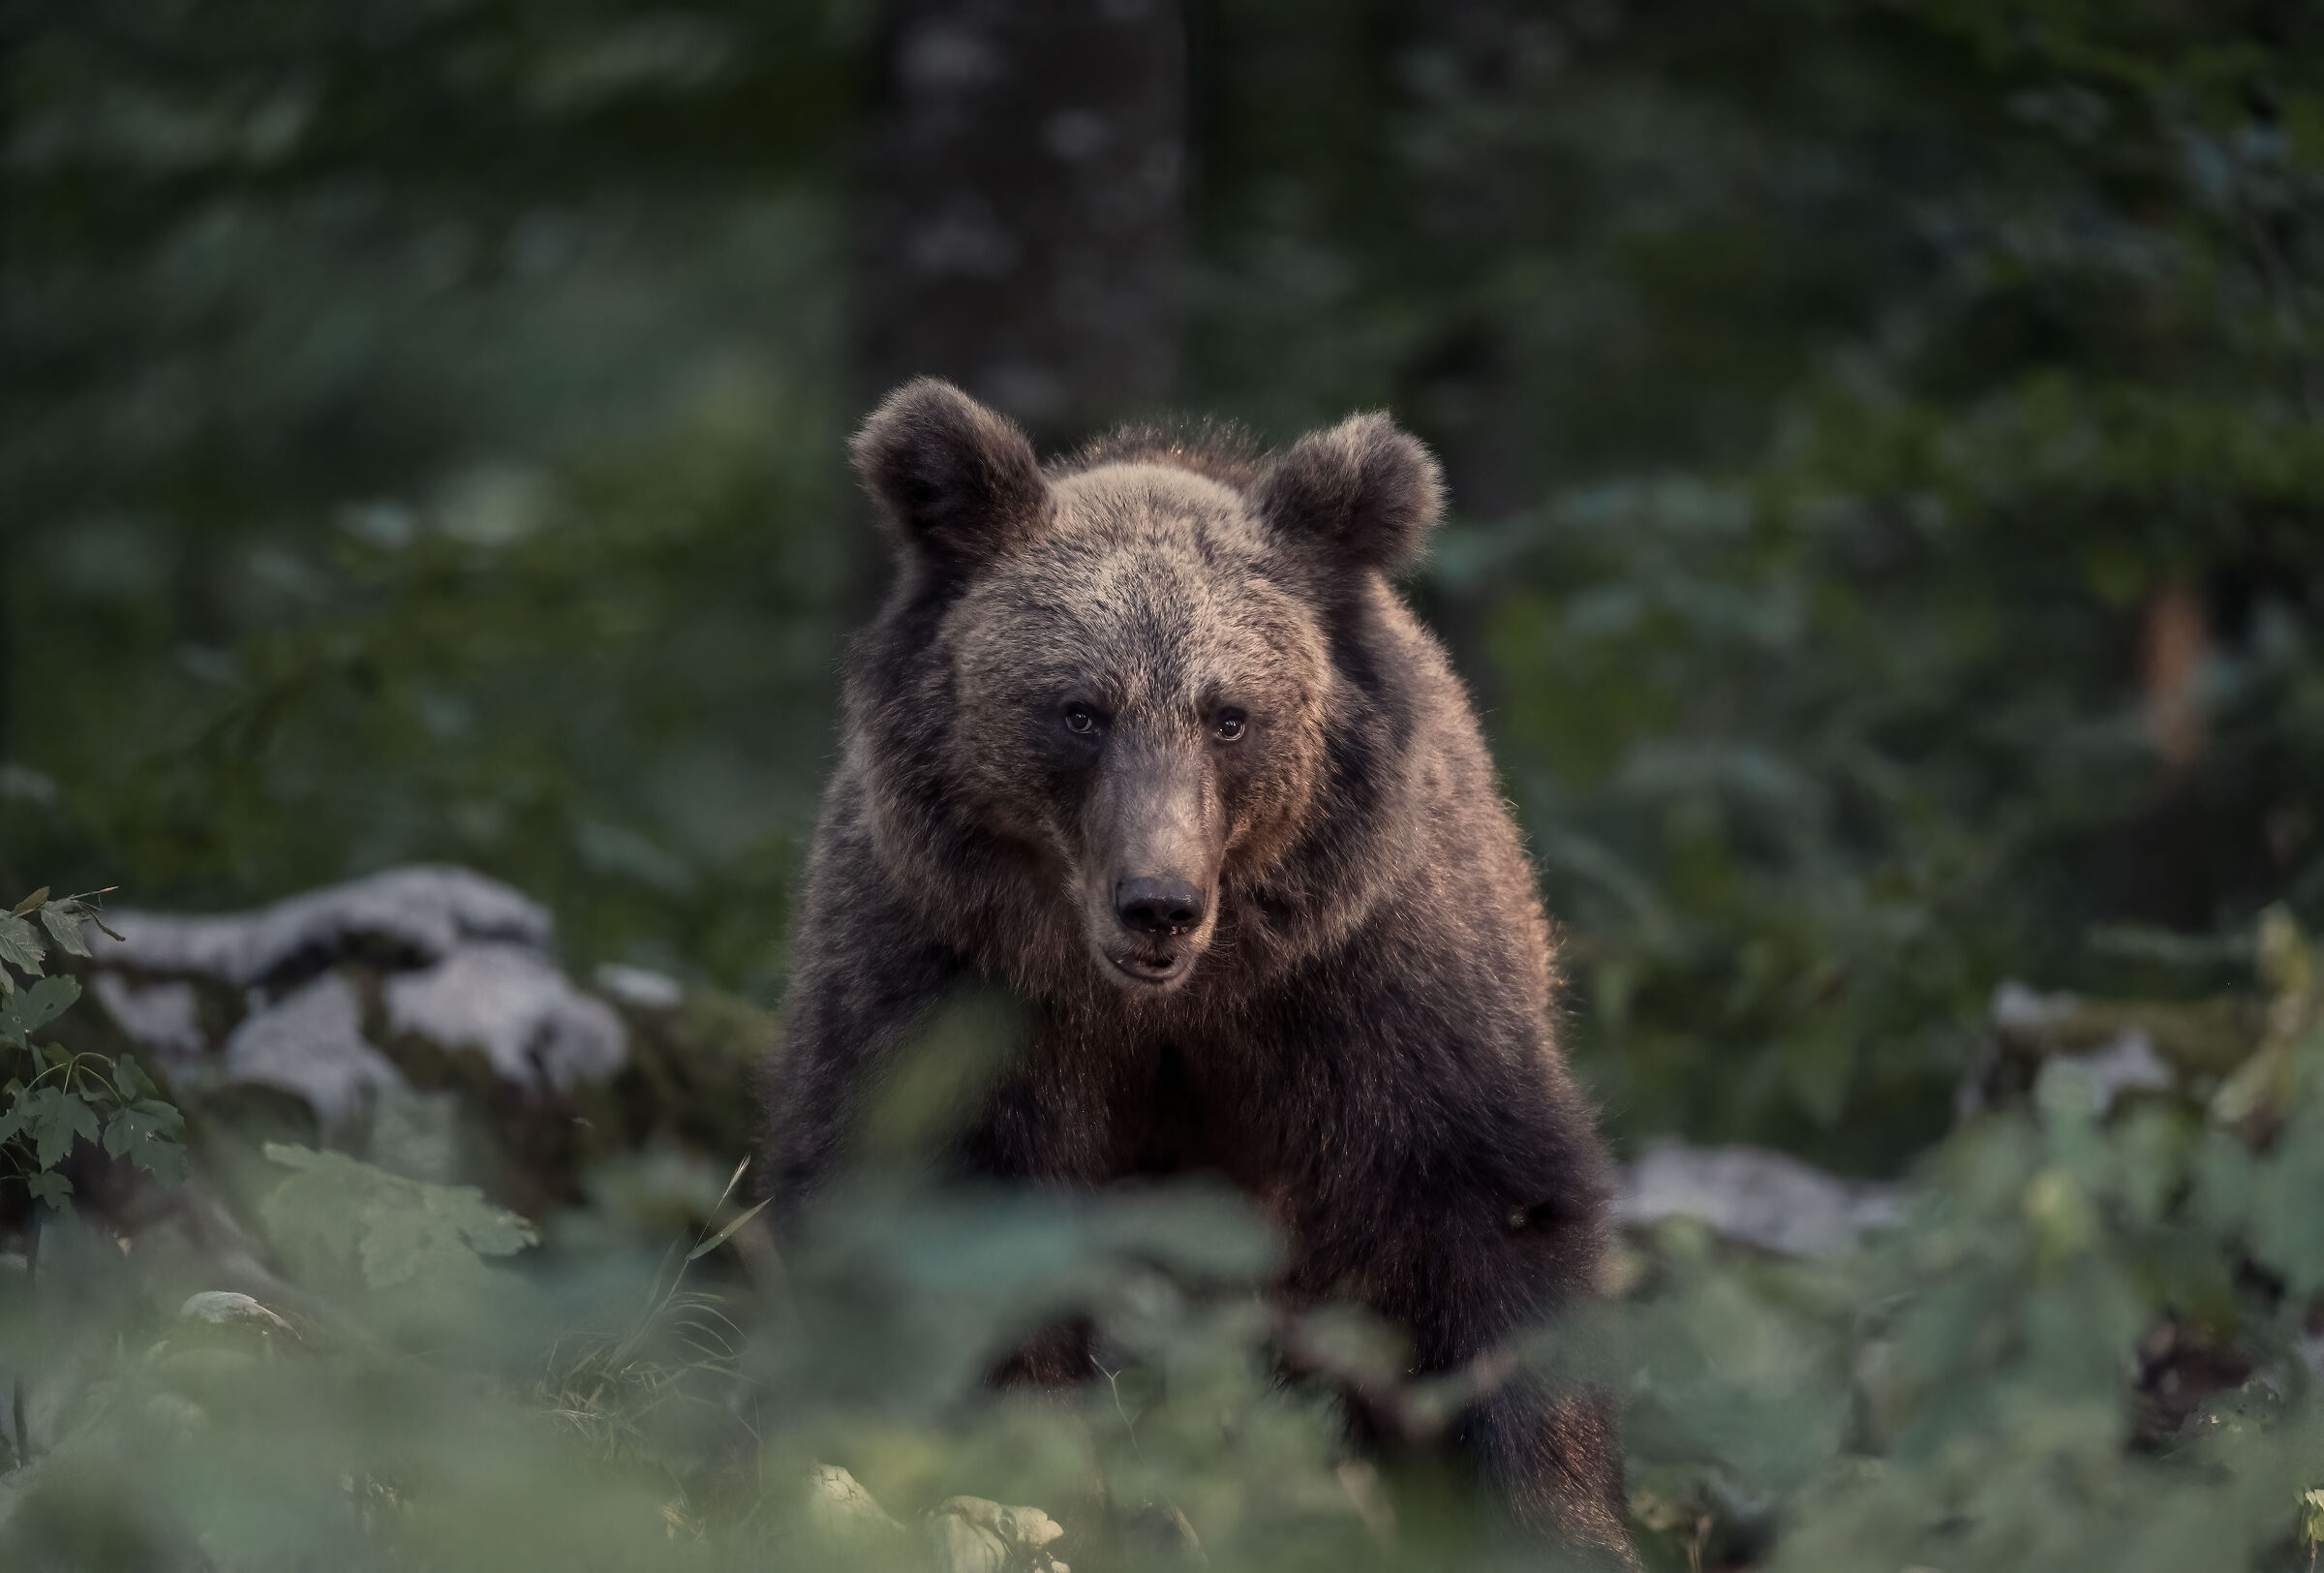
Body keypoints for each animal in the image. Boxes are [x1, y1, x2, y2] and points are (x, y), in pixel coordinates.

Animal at [760, 377, 1633, 1563]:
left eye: (1231, 715)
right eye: (1079, 709)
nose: (1160, 904)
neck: (1177, 1004)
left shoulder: (1374, 976)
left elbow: (1485, 1211)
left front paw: (1558, 1513)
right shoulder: (947, 977)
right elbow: (955, 1226)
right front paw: (1028, 1484)